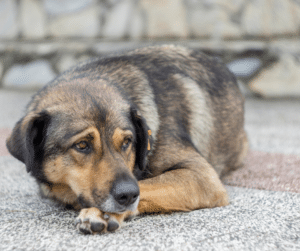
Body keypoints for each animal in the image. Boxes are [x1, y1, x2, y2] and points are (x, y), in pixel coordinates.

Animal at [5, 44, 247, 233]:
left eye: (127, 142)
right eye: (82, 145)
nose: (128, 195)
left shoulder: (202, 176)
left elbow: (146, 185)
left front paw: (102, 213)